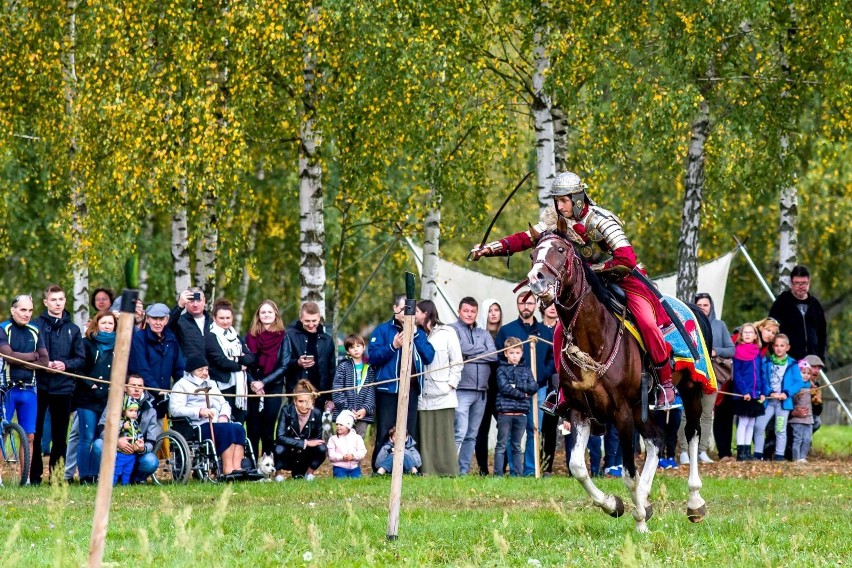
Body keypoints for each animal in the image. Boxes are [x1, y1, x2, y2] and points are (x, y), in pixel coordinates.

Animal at [528, 220, 708, 532]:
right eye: (532, 254)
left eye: (561, 250)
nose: (535, 279)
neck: (593, 336)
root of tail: (695, 308)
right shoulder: (579, 411)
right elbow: (578, 467)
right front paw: (615, 505)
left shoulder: (622, 412)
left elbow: (627, 473)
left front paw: (640, 523)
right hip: (640, 407)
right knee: (656, 439)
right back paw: (645, 500)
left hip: (689, 389)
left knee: (692, 432)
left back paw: (694, 503)